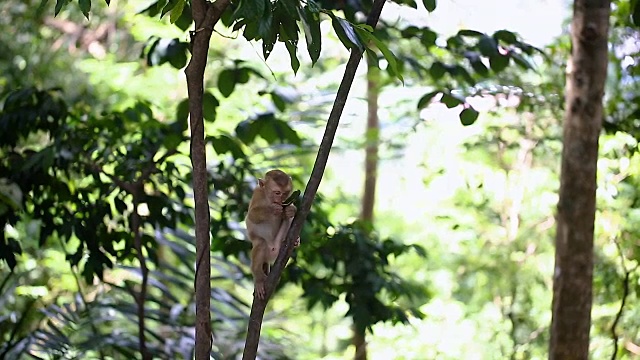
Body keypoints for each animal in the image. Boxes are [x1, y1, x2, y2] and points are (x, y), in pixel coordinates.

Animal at [246, 170, 302, 300]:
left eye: (285, 193)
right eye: (277, 193)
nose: (280, 201)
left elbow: (288, 214)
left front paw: (291, 210)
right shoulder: (258, 194)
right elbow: (252, 214)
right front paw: (273, 209)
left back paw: (295, 240)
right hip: (264, 249)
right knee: (260, 244)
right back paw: (258, 278)